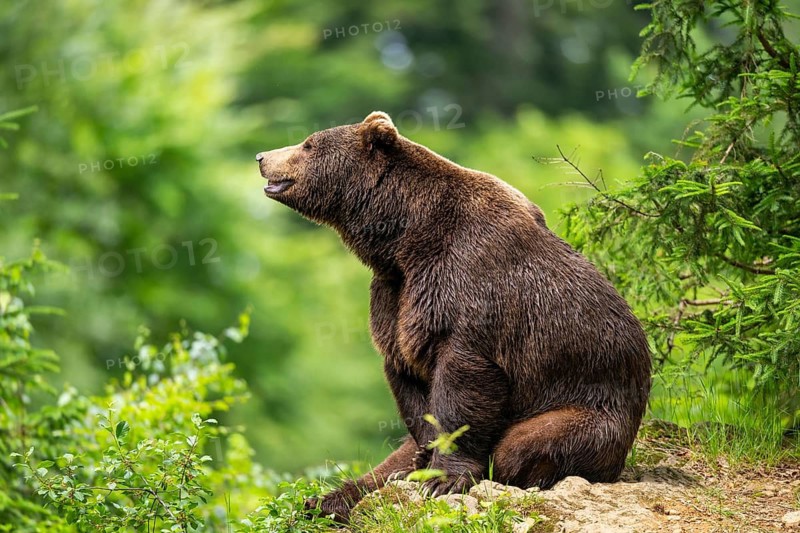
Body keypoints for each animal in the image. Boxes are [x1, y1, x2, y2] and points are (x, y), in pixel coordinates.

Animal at [256, 111, 651, 523]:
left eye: (308, 144)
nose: (262, 156)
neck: (402, 238)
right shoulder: (396, 294)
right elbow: (408, 378)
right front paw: (422, 464)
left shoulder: (467, 284)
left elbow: (463, 382)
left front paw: (444, 479)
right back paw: (326, 499)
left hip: (590, 403)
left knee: (526, 443)